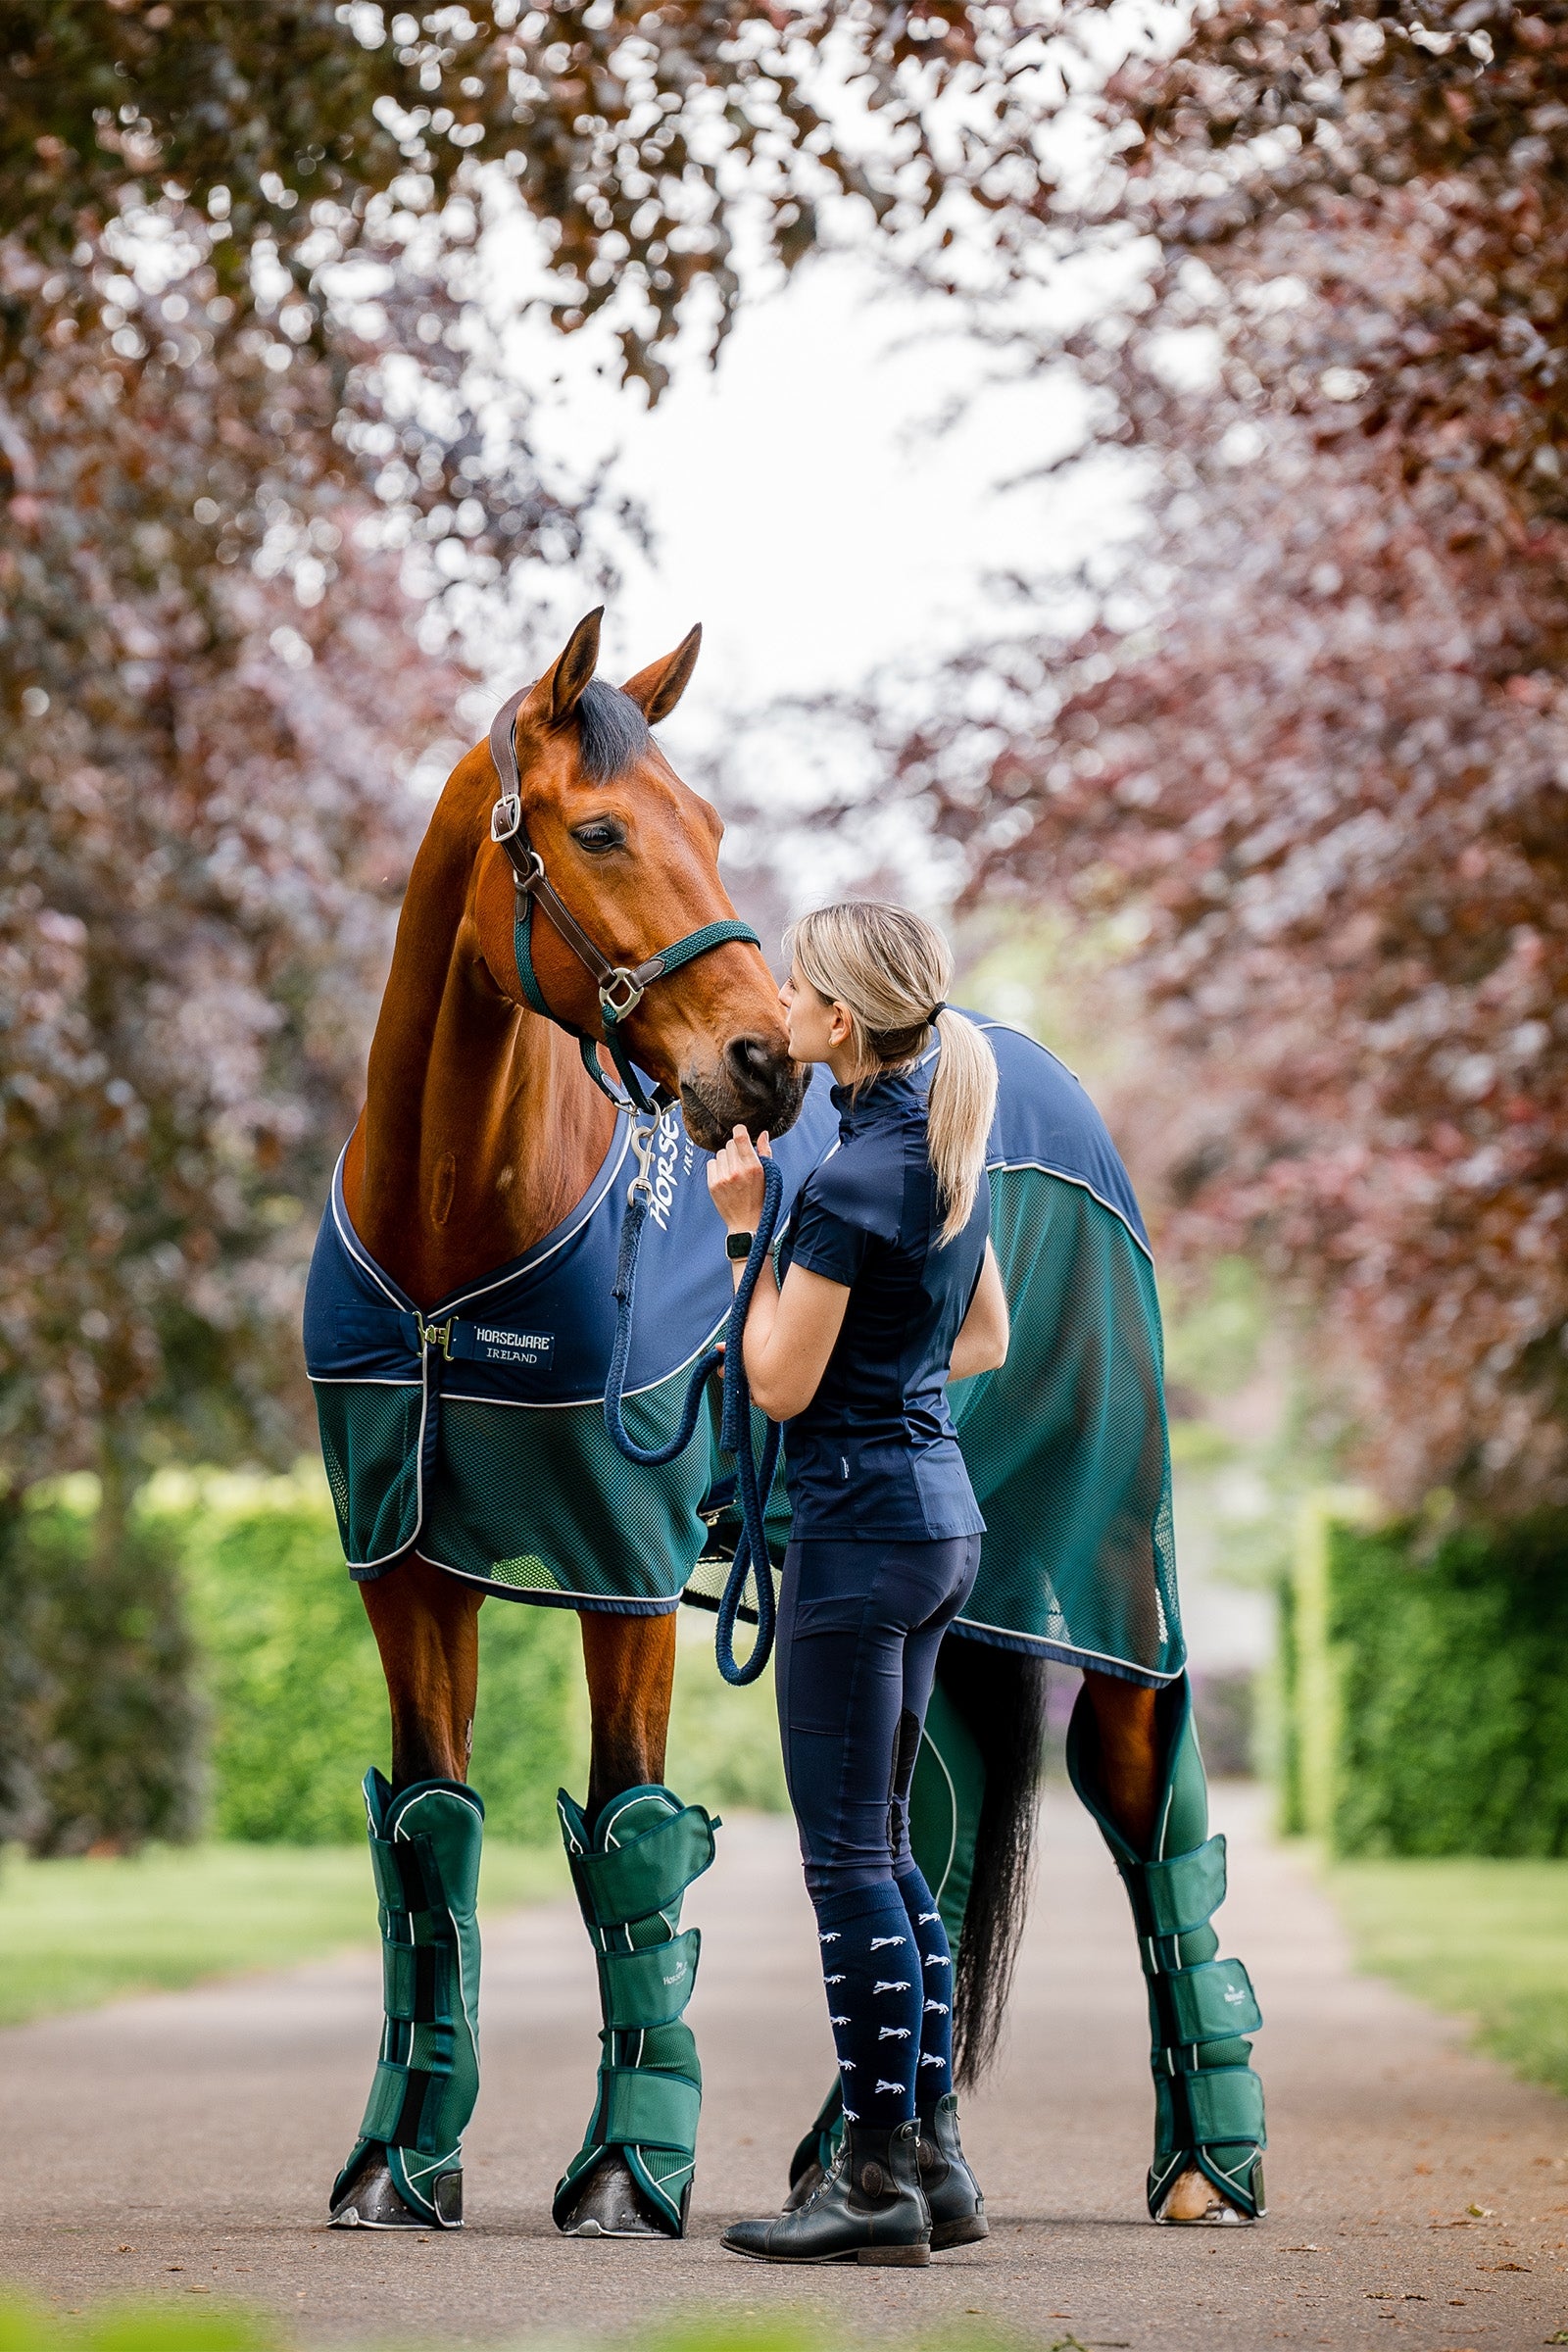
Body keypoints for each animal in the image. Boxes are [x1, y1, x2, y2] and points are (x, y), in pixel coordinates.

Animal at [306, 608, 1266, 2238]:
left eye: (709, 824)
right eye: (603, 828)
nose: (761, 1061)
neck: (456, 1247)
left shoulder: (623, 1571)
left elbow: (629, 1835)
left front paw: (624, 2177)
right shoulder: (406, 1567)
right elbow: (429, 1835)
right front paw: (395, 2166)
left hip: (1107, 1574)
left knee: (1148, 1803)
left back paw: (1207, 2163)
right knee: (922, 1829)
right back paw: (873, 2159)